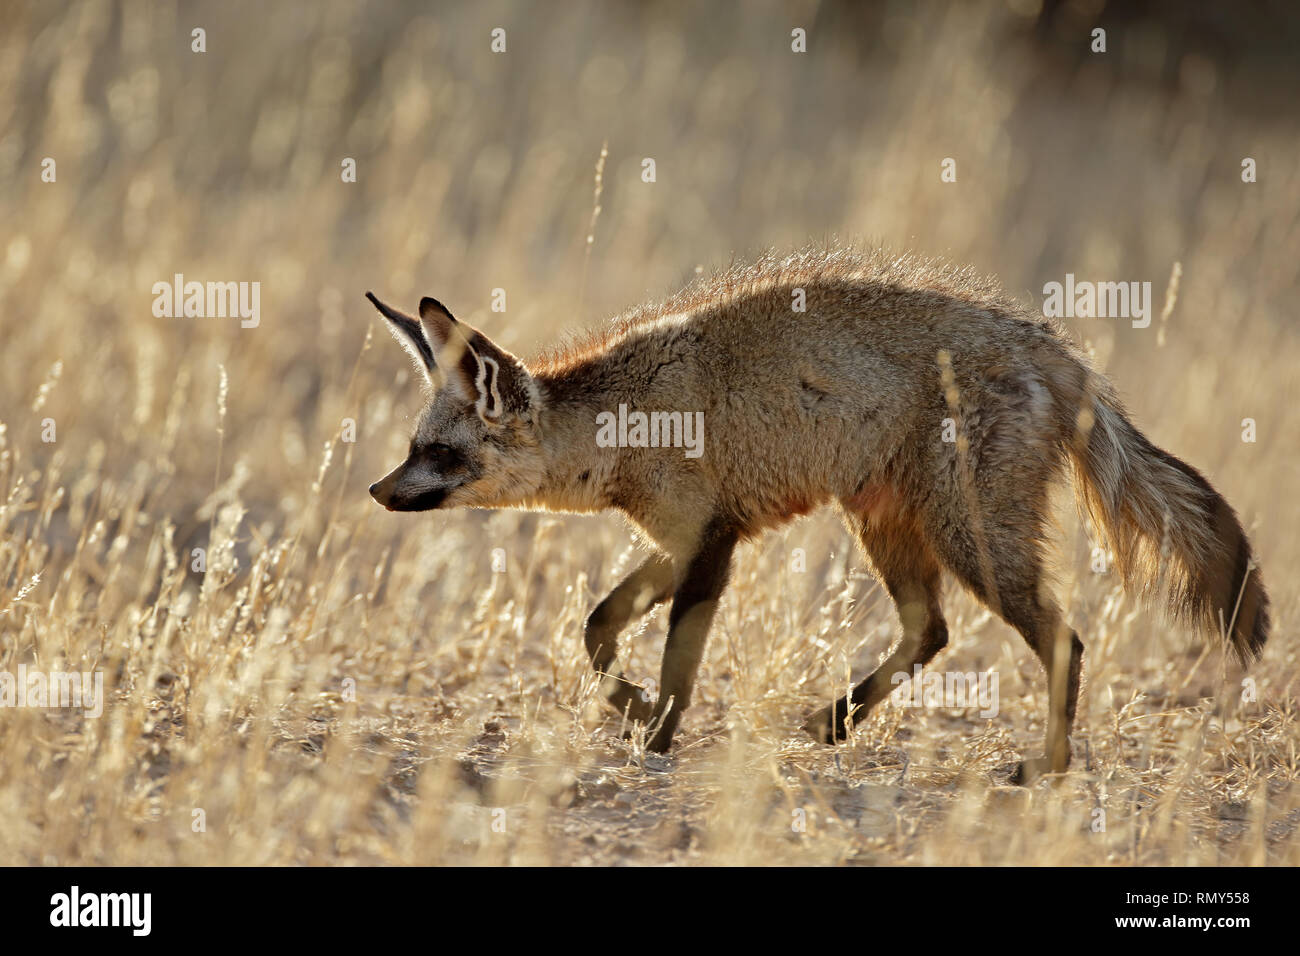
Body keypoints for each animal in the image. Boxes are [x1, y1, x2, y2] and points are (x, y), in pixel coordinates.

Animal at [366, 247, 1268, 785]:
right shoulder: (683, 539)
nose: (377, 491)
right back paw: (836, 721)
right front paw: (630, 709)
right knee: (932, 631)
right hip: (890, 527)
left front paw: (656, 738)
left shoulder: (709, 543)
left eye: (437, 453)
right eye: (412, 447)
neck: (622, 418)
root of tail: (1056, 349)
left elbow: (675, 664)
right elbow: (594, 627)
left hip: (971, 541)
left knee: (1061, 641)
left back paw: (1043, 767)